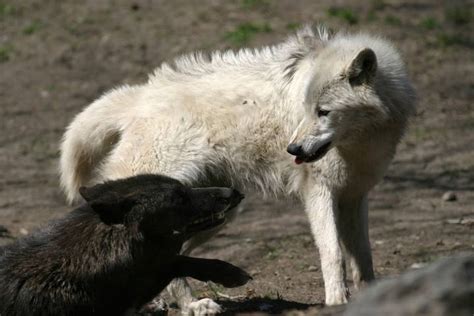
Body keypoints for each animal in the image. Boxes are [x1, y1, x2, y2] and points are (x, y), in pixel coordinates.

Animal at [59, 25, 414, 314]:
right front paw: (337, 302)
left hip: (219, 214)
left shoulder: (355, 196)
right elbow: (333, 253)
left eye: (323, 112)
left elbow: (363, 260)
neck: (360, 142)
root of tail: (139, 96)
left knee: (175, 258)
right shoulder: (319, 193)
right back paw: (186, 305)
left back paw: (183, 305)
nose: (293, 150)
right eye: (305, 110)